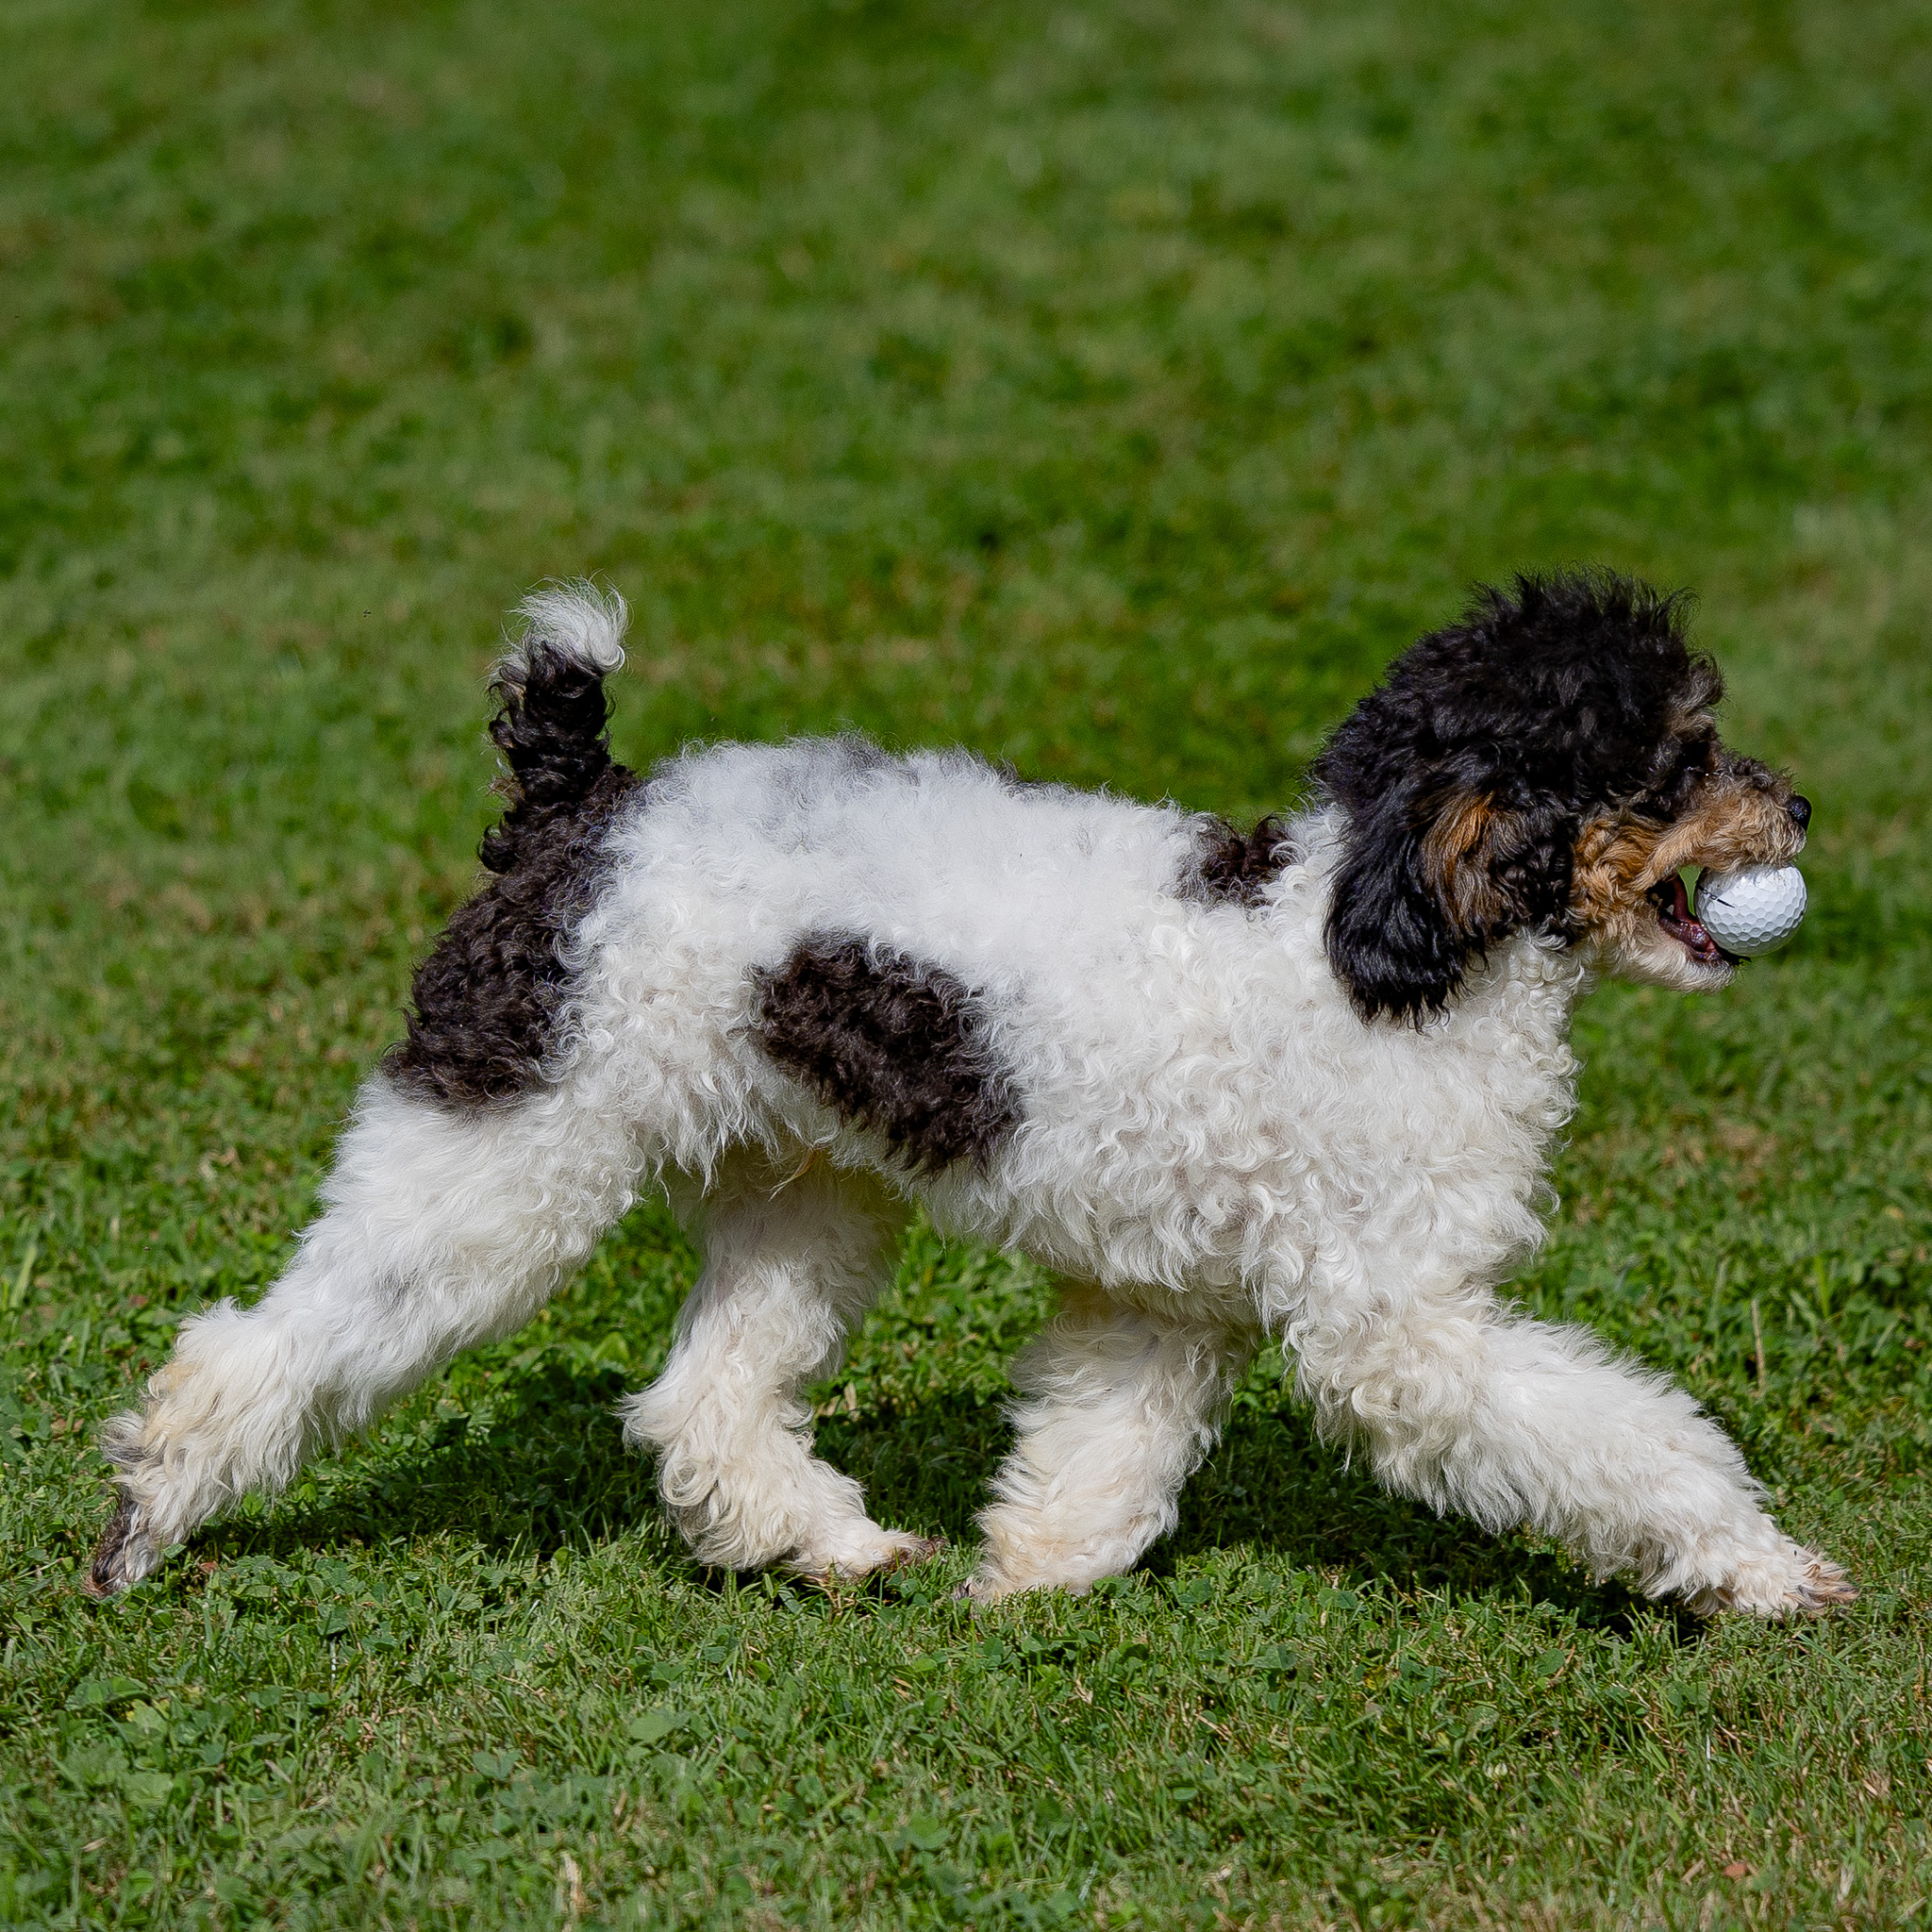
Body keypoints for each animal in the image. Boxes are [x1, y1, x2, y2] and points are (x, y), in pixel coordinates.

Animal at [91, 564, 1855, 1615]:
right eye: (1679, 756)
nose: (1803, 807)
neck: (1379, 941)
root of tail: (578, 803)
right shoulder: (1396, 1329)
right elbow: (1624, 1441)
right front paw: (1757, 1567)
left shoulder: (1161, 1301)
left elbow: (1098, 1462)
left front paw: (1023, 1586)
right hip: (497, 1159)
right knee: (260, 1348)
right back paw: (149, 1519)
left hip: (803, 1195)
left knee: (701, 1402)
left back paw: (835, 1545)